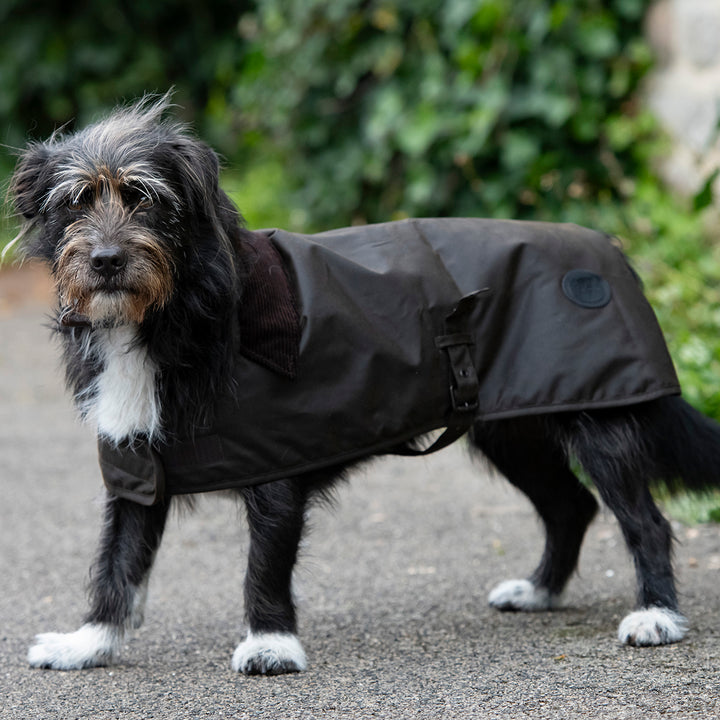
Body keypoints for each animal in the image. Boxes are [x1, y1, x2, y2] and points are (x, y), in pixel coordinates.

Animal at [8, 95, 720, 676]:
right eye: (75, 202)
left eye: (146, 197)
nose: (105, 262)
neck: (178, 316)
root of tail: (613, 252)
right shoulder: (135, 469)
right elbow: (116, 566)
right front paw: (89, 644)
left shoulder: (276, 471)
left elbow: (263, 567)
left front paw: (270, 645)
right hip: (508, 433)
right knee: (570, 506)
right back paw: (540, 590)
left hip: (600, 427)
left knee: (644, 520)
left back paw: (657, 615)